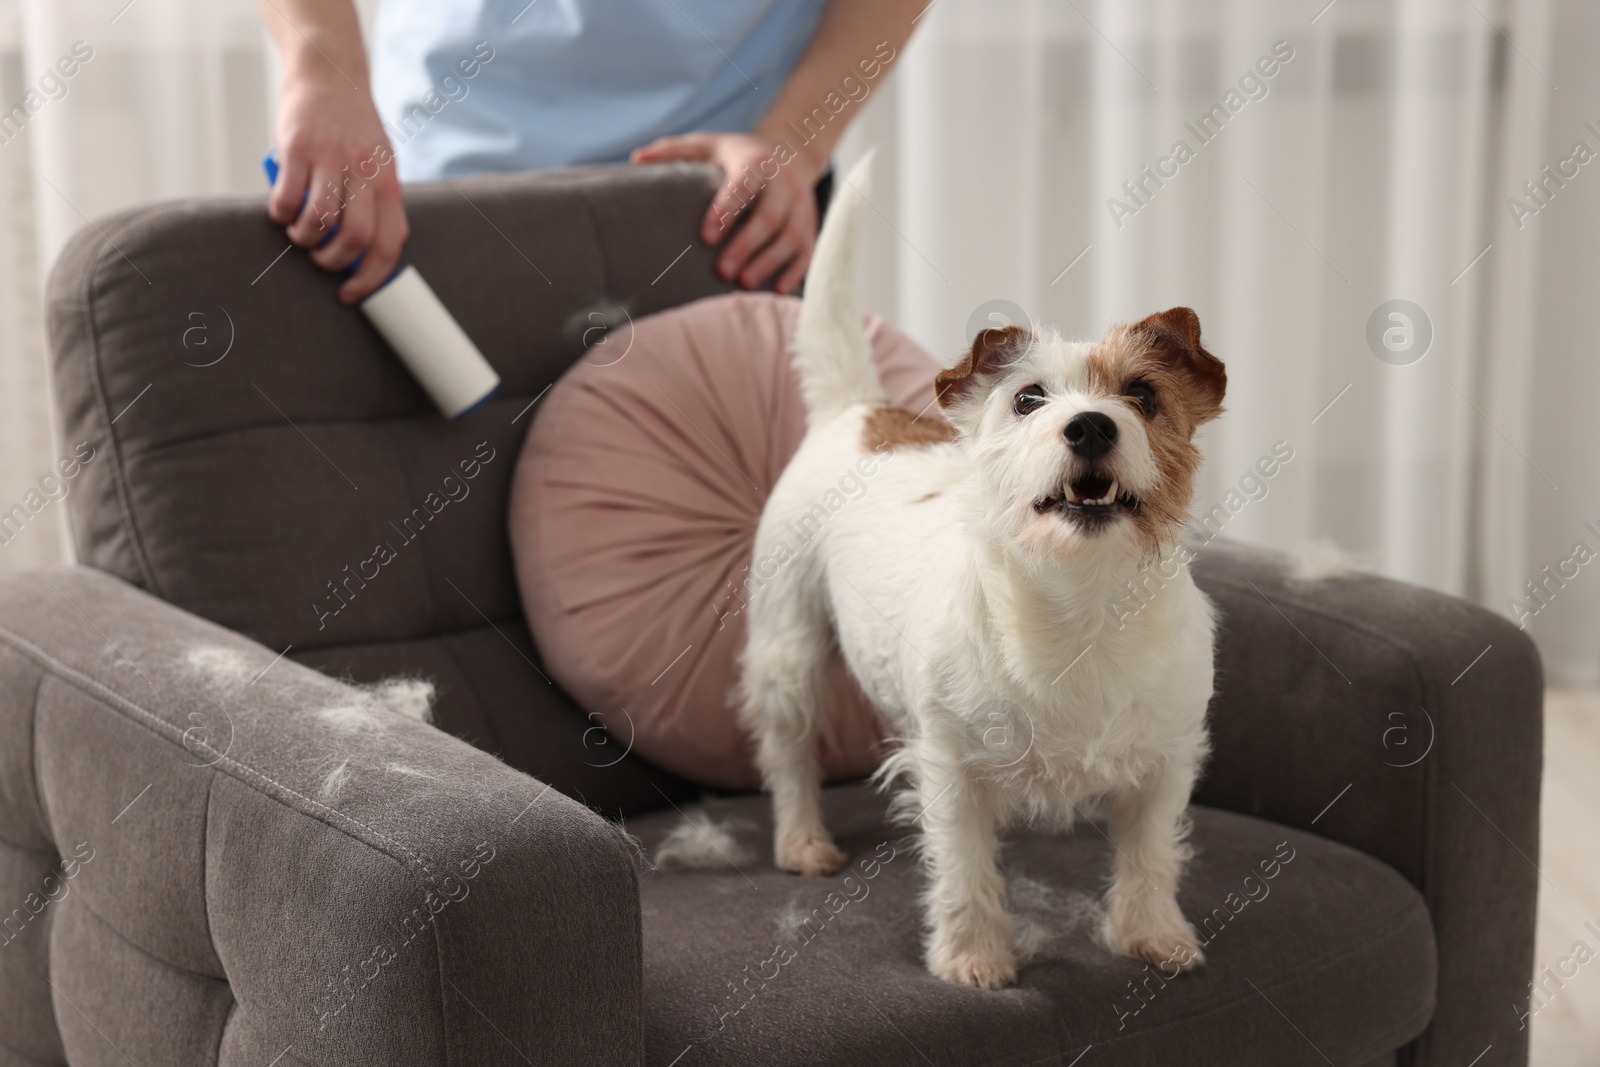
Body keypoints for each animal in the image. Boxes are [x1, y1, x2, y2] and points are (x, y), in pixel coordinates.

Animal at [736, 154, 1222, 991]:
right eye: (1028, 398)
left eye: (1142, 395)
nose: (1089, 425)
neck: (1080, 604)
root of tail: (859, 411)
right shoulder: (952, 769)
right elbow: (964, 868)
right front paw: (972, 957)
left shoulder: (1164, 763)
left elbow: (1151, 856)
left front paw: (1153, 935)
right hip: (787, 653)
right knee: (790, 752)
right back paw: (802, 840)